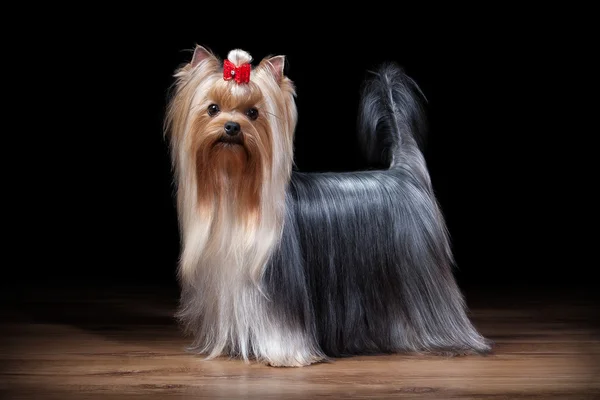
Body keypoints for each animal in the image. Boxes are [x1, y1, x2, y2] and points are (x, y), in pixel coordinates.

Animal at [164, 45, 492, 368]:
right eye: (213, 109)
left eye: (253, 113)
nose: (232, 126)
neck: (235, 190)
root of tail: (406, 173)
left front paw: (284, 356)